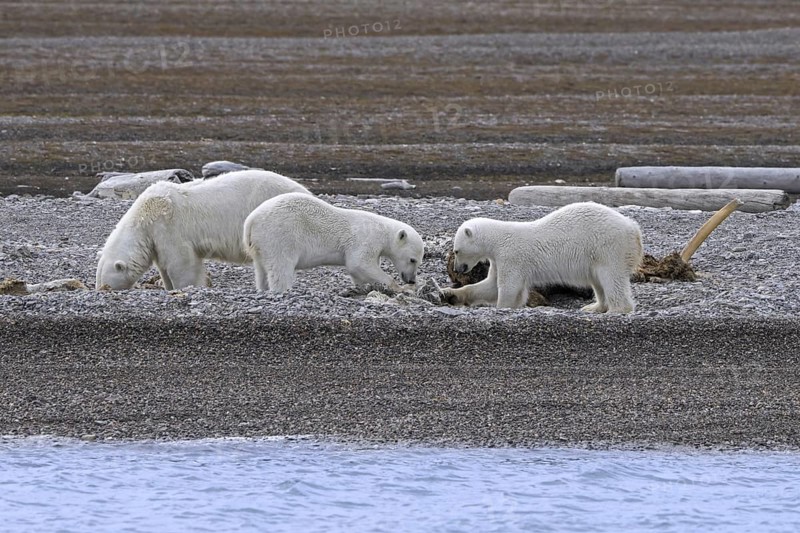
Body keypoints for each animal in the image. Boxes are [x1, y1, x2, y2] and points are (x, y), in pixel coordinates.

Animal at [96, 169, 311, 290]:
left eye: (106, 283)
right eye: (98, 280)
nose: (102, 290)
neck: (145, 215)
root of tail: (306, 191)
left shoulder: (168, 227)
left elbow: (181, 263)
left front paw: (187, 287)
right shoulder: (155, 239)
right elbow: (163, 266)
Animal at [243, 192, 425, 293]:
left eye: (419, 261)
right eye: (413, 259)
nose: (411, 280)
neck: (382, 230)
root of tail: (251, 221)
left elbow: (359, 271)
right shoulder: (366, 239)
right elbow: (359, 263)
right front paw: (398, 287)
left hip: (260, 244)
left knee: (261, 269)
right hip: (280, 234)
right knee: (281, 266)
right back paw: (284, 289)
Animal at [442, 201, 643, 313]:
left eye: (456, 251)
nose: (458, 269)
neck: (498, 238)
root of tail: (634, 228)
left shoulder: (511, 256)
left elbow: (508, 286)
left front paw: (503, 306)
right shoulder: (498, 260)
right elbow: (489, 286)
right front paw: (451, 294)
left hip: (608, 247)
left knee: (611, 277)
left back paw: (617, 309)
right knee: (598, 281)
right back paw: (594, 307)